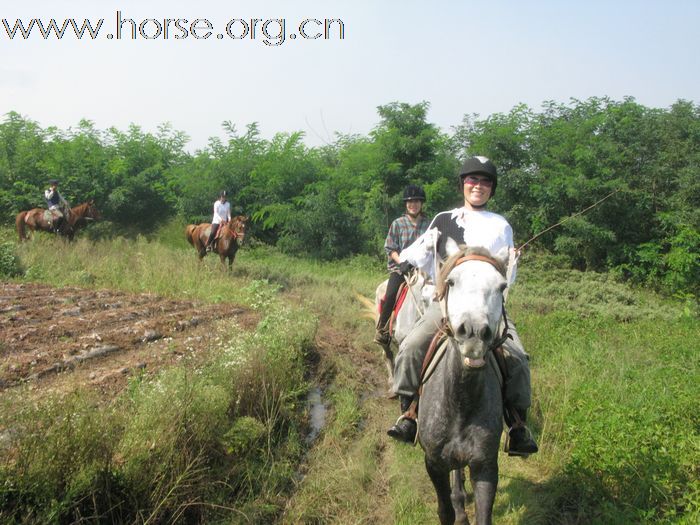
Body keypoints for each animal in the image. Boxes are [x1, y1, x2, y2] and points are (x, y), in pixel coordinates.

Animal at [416, 244, 508, 520]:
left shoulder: (485, 467)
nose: (475, 333)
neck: (461, 401)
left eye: (502, 286)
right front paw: (455, 509)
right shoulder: (434, 464)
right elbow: (444, 511)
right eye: (451, 282)